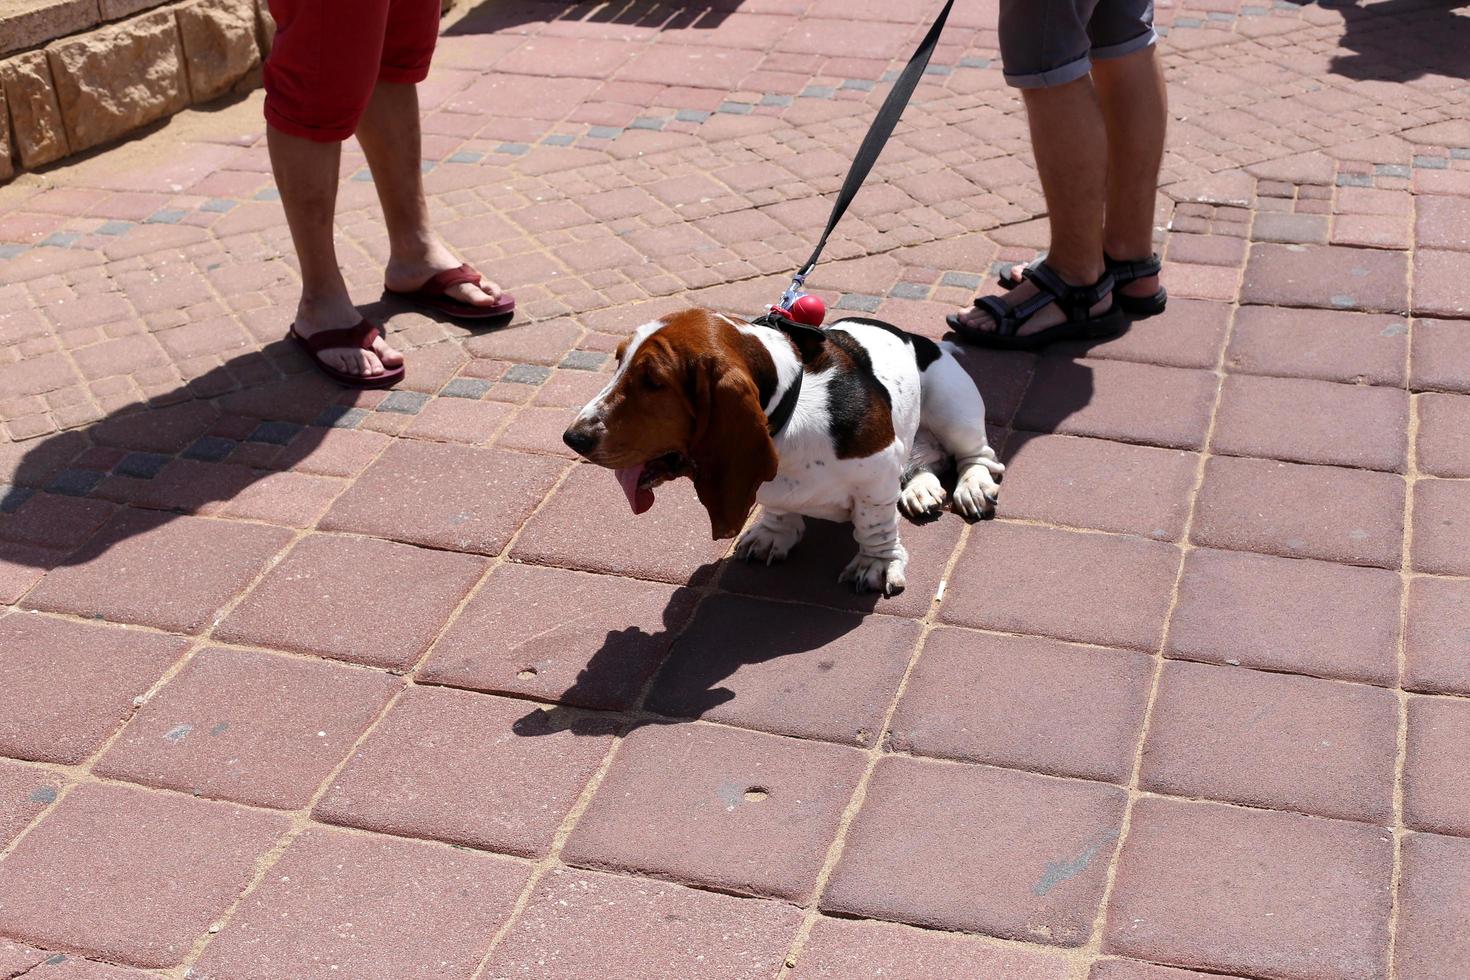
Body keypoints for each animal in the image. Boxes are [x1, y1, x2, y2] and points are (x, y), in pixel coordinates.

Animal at [555, 310, 1005, 593]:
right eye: (618, 362)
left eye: (653, 381)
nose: (573, 438)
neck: (793, 408)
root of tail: (922, 339)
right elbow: (777, 506)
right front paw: (773, 535)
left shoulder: (876, 476)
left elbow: (874, 526)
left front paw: (877, 565)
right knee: (925, 459)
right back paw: (921, 489)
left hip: (953, 407)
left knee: (977, 456)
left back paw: (972, 486)